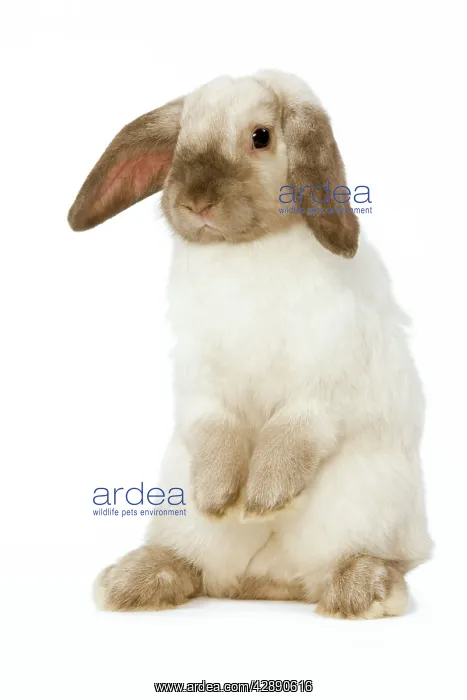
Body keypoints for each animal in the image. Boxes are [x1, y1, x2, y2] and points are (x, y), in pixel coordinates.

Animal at [68, 70, 432, 619]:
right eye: (181, 136)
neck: (246, 251)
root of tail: (266, 583)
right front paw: (220, 498)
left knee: (363, 559)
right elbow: (217, 431)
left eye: (261, 136)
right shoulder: (203, 384)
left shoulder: (324, 381)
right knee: (194, 566)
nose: (195, 201)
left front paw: (263, 498)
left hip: (366, 504)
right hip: (181, 514)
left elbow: (292, 431)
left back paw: (361, 590)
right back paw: (131, 582)